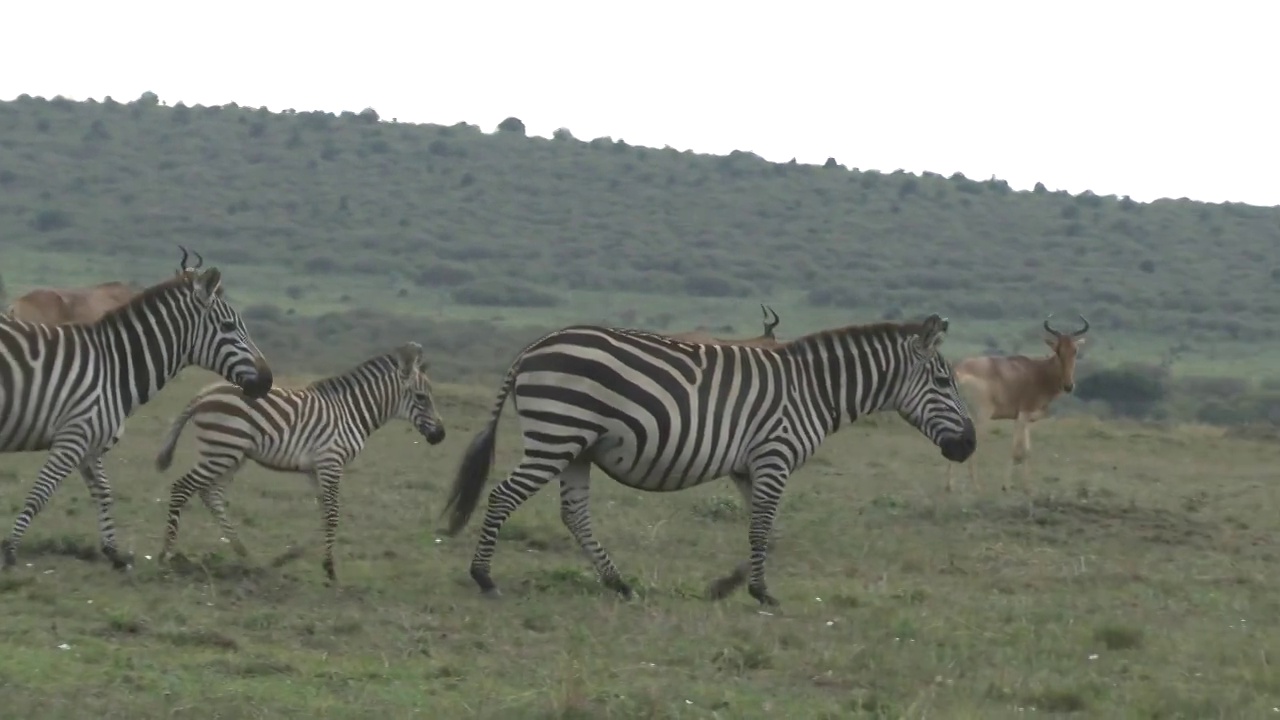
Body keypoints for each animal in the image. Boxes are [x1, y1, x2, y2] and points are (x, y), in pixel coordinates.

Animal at [1, 249, 272, 568]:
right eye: (229, 326)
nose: (268, 380)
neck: (114, 367)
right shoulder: (74, 435)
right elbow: (40, 493)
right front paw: (10, 551)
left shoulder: (90, 441)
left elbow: (104, 492)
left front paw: (113, 551)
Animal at [154, 338, 448, 579]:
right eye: (421, 397)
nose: (441, 435)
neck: (351, 412)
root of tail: (204, 394)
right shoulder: (331, 462)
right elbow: (333, 513)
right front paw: (329, 569)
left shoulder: (315, 468)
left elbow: (324, 512)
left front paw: (289, 556)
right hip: (223, 450)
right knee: (182, 488)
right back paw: (166, 555)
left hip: (231, 455)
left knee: (210, 494)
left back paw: (244, 553)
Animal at [442, 313, 977, 604]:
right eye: (944, 381)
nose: (969, 447)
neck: (814, 390)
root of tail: (533, 346)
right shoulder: (774, 455)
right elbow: (762, 529)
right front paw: (760, 592)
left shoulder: (747, 466)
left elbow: (770, 531)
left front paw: (727, 585)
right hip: (557, 435)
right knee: (502, 496)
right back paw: (484, 577)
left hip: (578, 447)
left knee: (574, 514)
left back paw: (619, 583)